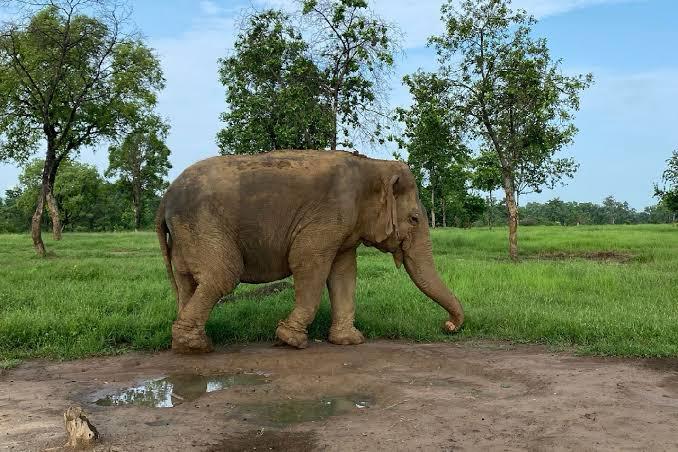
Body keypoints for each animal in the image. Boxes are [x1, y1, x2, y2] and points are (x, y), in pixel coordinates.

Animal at [156, 150, 464, 353]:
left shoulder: (345, 229)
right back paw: (196, 347)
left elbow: (343, 273)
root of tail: (164, 198)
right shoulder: (328, 216)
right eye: (414, 219)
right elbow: (308, 263)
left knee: (187, 283)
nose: (447, 326)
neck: (373, 165)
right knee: (222, 275)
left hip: (185, 236)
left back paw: (188, 342)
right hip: (204, 225)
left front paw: (350, 341)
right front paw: (290, 340)